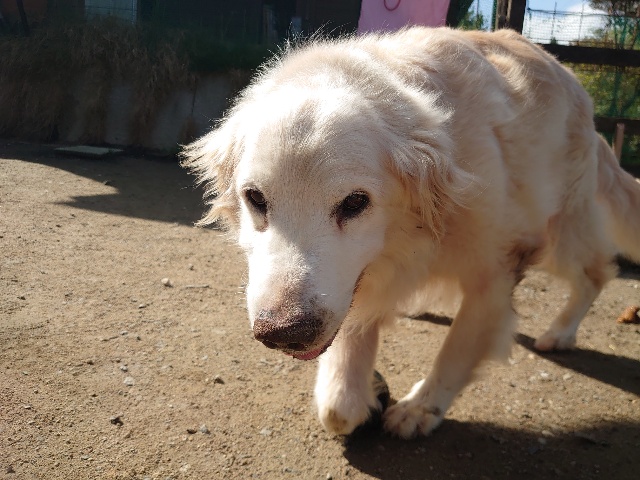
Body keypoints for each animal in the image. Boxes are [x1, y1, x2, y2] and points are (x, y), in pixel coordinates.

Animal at [183, 27, 640, 438]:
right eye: (255, 198)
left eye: (355, 202)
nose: (283, 333)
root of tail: (571, 80)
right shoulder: (356, 281)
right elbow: (339, 397)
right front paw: (355, 393)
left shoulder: (495, 273)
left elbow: (457, 349)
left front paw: (420, 408)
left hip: (560, 232)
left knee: (596, 273)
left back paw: (559, 333)